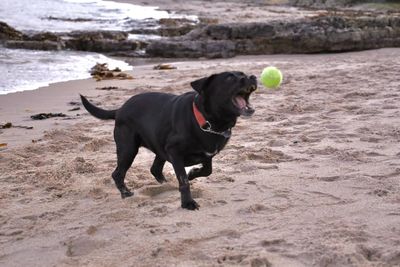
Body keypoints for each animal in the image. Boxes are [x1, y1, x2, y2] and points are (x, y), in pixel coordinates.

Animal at [81, 72, 256, 210]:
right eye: (230, 78)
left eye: (243, 74)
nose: (253, 77)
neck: (208, 121)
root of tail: (119, 110)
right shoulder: (175, 152)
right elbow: (183, 180)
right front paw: (188, 203)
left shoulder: (208, 153)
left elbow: (207, 170)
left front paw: (193, 173)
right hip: (128, 149)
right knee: (118, 173)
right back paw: (126, 193)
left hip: (158, 147)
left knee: (155, 169)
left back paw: (166, 184)